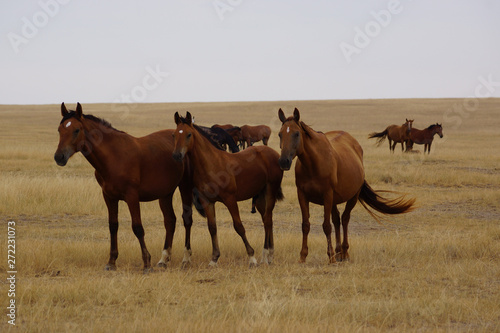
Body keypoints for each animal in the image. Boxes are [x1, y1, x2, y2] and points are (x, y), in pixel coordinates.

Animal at [52, 102, 197, 272]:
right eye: (60, 129)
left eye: (76, 130)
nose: (59, 157)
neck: (114, 157)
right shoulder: (109, 197)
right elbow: (113, 226)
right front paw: (111, 261)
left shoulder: (131, 196)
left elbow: (137, 227)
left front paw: (146, 262)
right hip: (165, 193)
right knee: (170, 221)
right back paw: (164, 259)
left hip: (185, 187)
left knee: (187, 220)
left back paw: (186, 259)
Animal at [173, 110, 284, 266]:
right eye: (174, 135)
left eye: (189, 134)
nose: (177, 155)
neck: (212, 164)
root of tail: (273, 153)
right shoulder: (207, 201)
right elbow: (212, 228)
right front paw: (214, 259)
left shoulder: (230, 199)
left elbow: (239, 226)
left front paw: (252, 257)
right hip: (260, 197)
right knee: (267, 219)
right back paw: (269, 255)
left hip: (270, 191)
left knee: (267, 220)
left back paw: (265, 255)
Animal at [278, 107, 414, 264]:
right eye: (280, 134)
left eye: (296, 133)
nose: (284, 161)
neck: (313, 163)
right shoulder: (302, 195)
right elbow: (305, 225)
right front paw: (303, 256)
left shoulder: (327, 196)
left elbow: (326, 226)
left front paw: (330, 257)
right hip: (334, 200)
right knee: (337, 220)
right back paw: (339, 252)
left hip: (352, 197)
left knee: (344, 219)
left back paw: (344, 252)